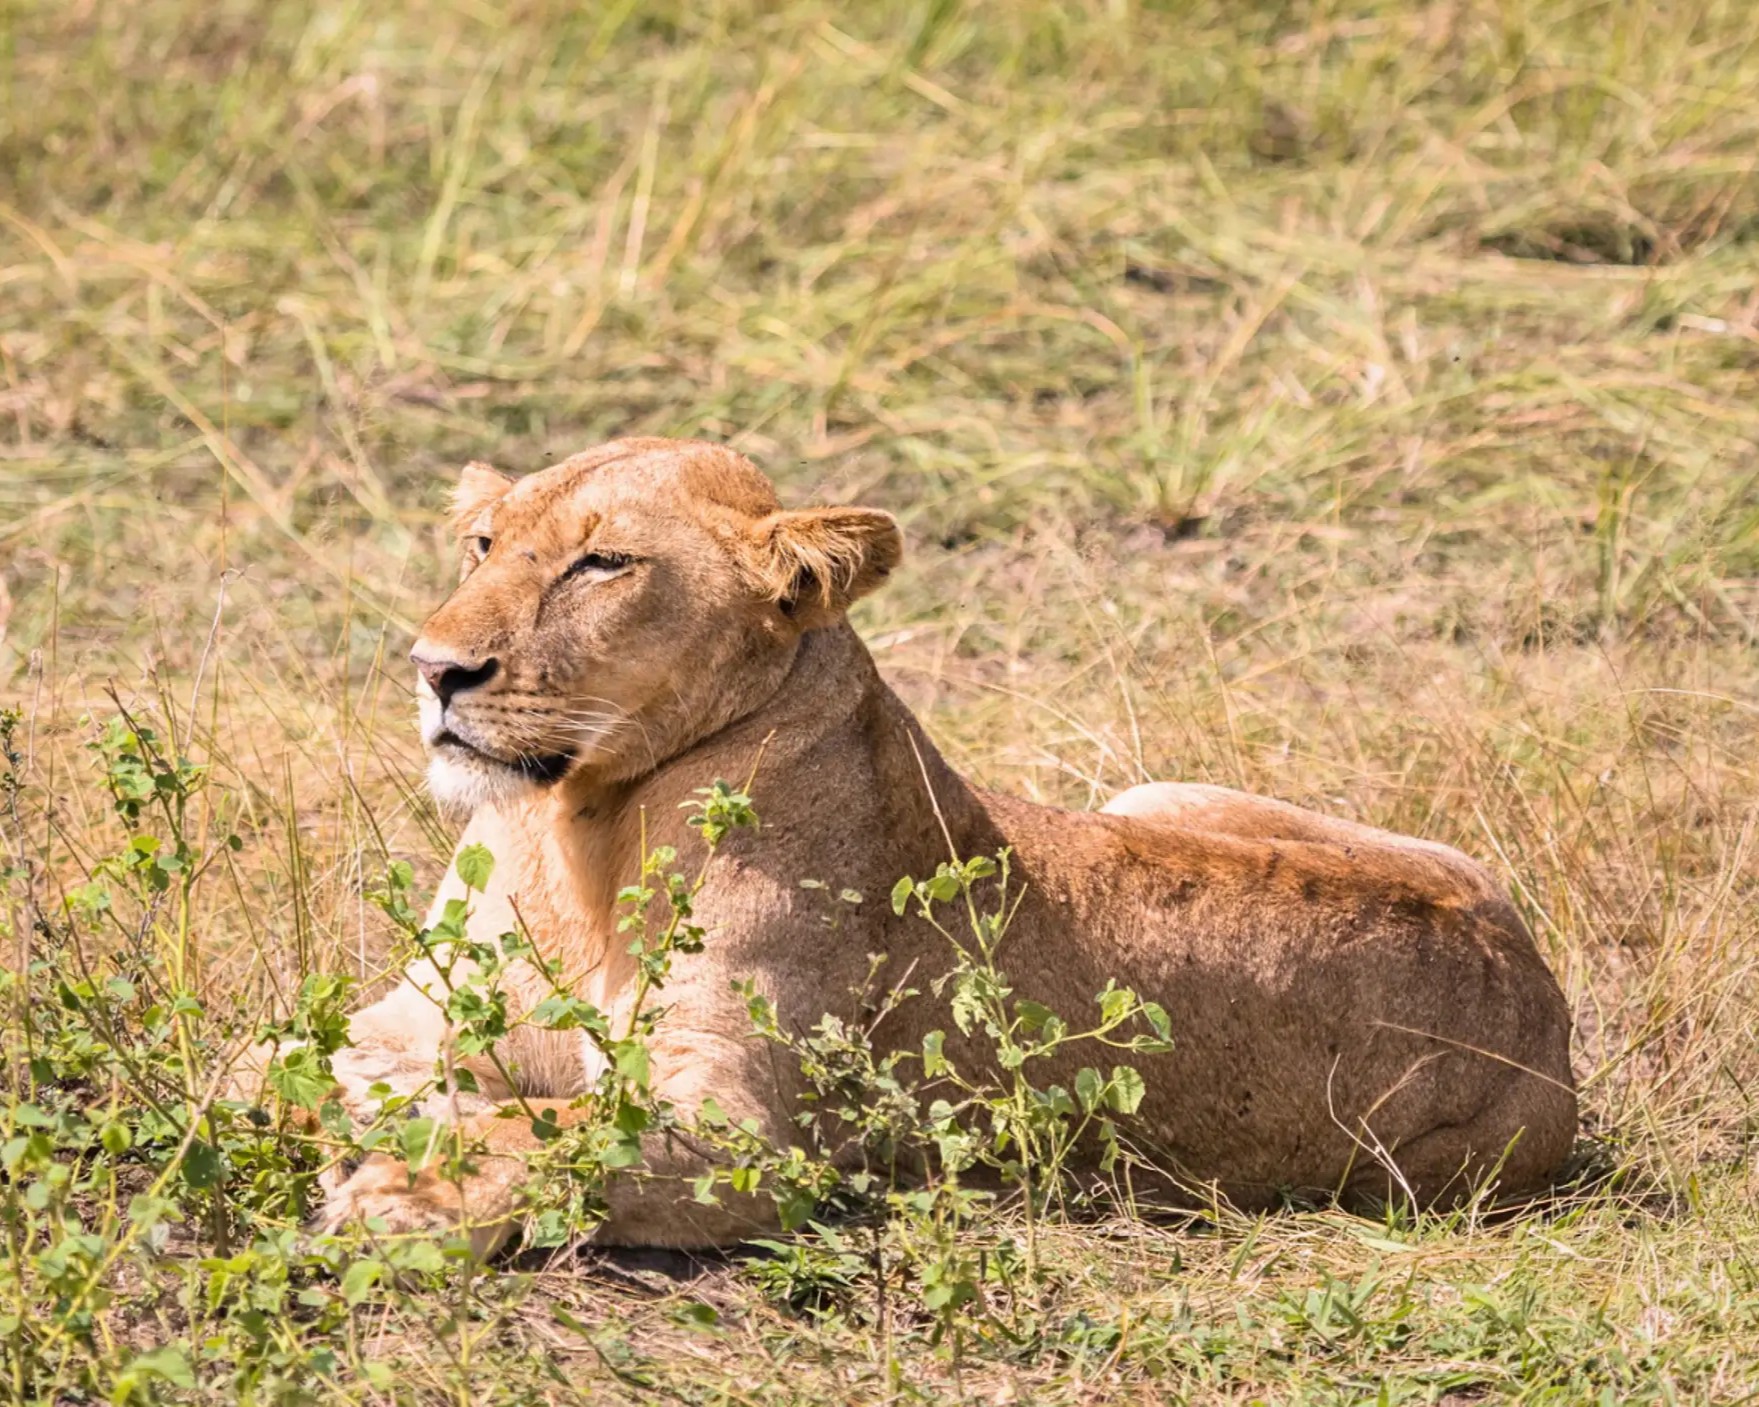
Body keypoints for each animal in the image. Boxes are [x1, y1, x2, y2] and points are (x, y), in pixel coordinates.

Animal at [294, 437, 1575, 1256]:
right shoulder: (413, 1013)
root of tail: (1544, 1002)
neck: (578, 826)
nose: (434, 669)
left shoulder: (746, 1132)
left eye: (602, 564)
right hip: (1155, 789)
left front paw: (409, 1189)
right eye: (482, 544)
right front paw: (372, 1119)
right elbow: (295, 1058)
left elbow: (560, 1131)